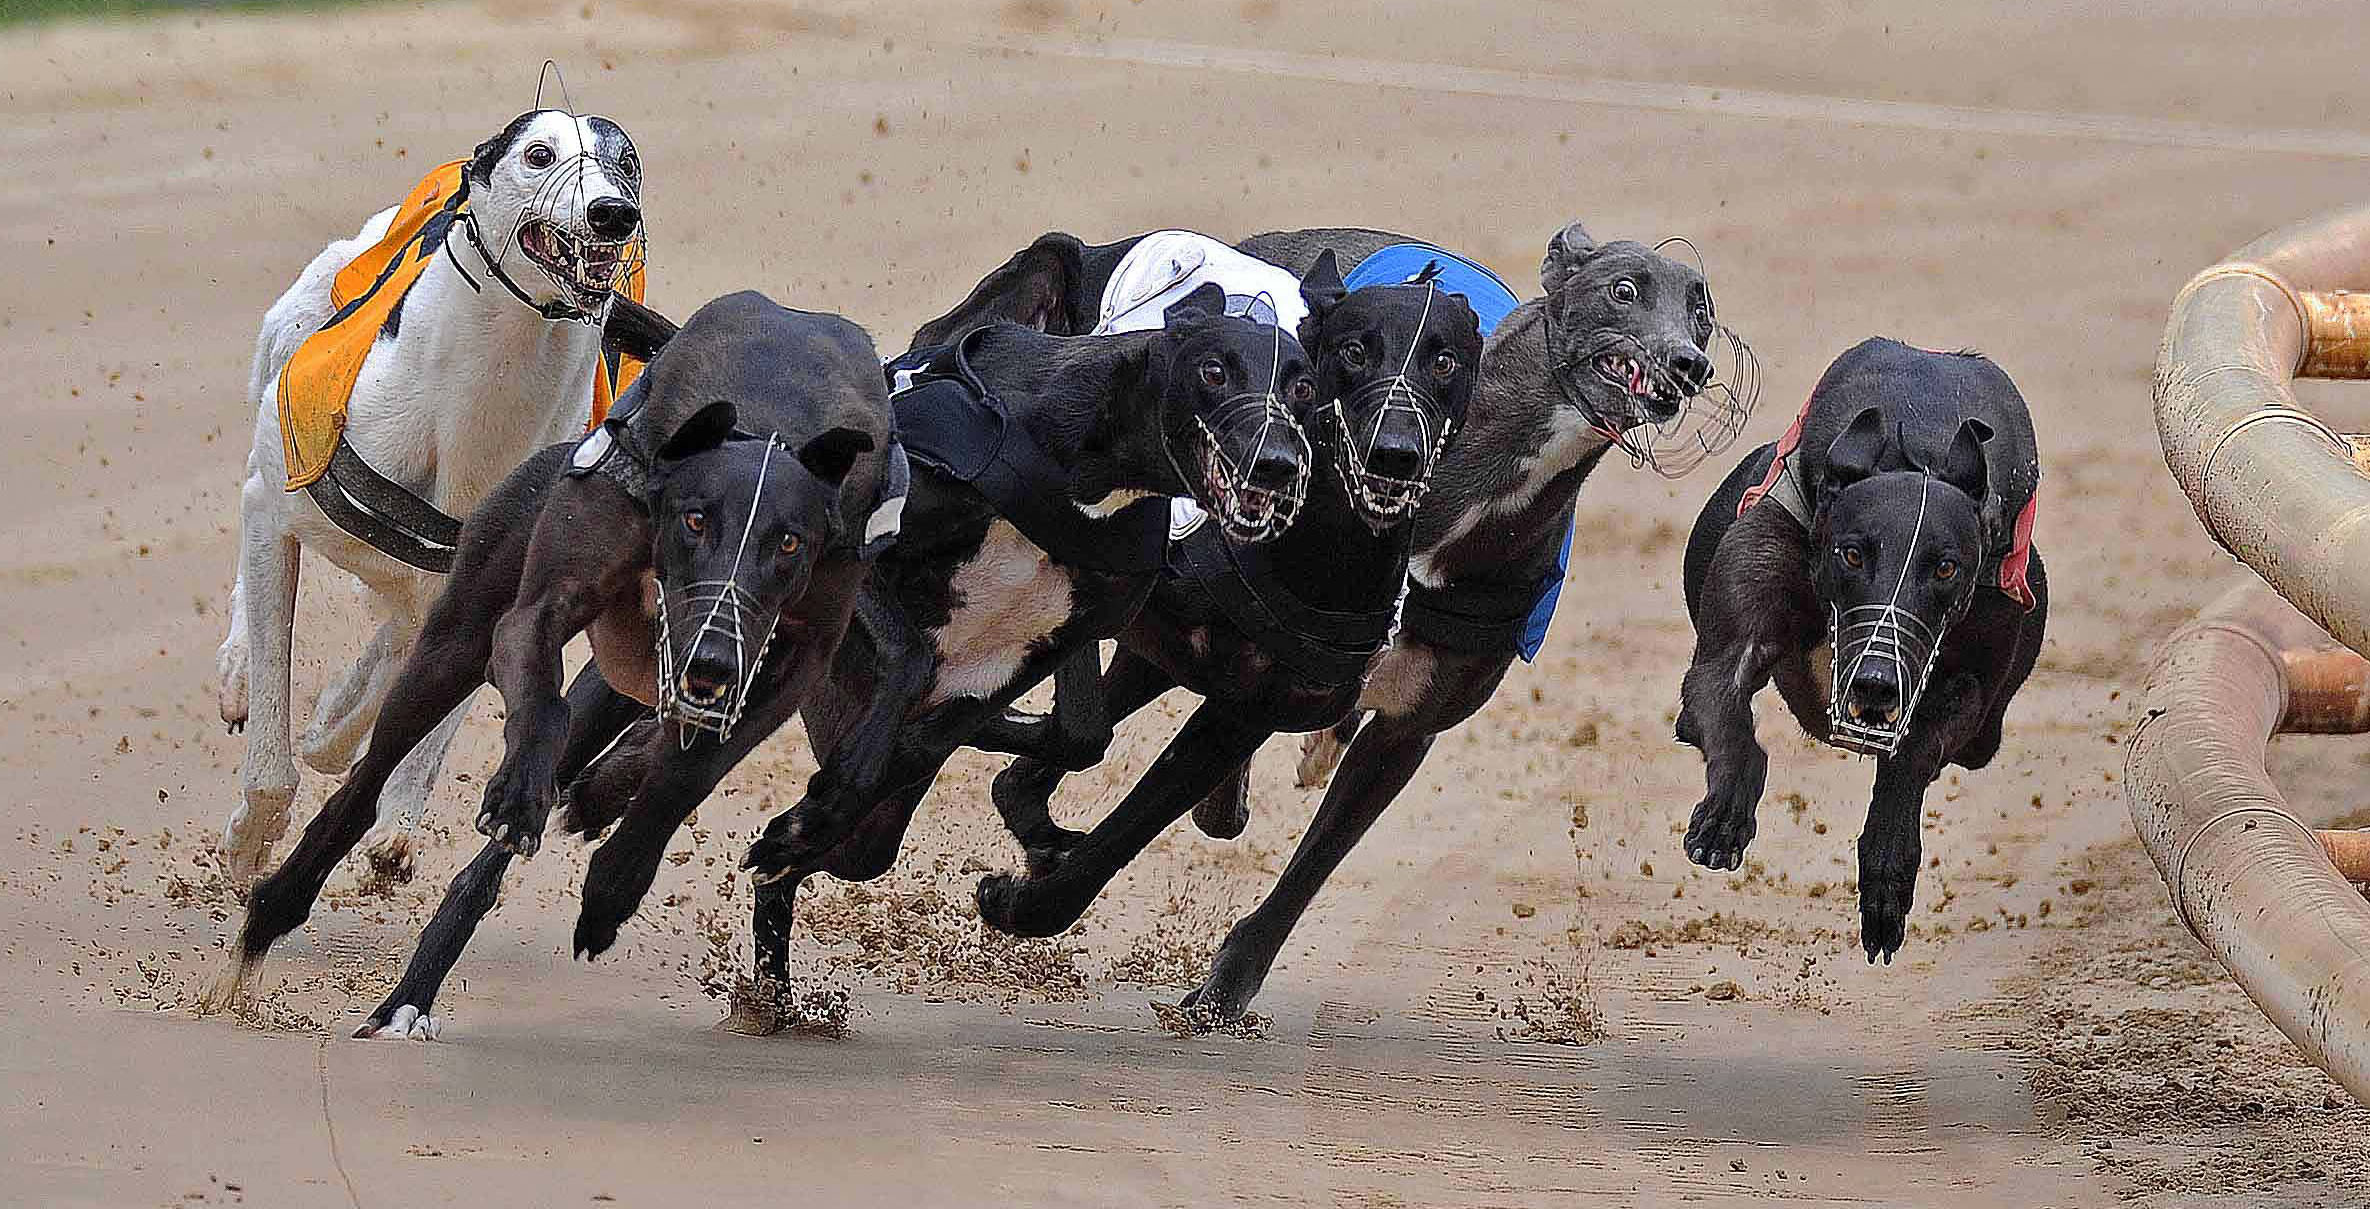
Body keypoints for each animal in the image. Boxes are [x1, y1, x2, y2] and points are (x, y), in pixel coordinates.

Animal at [200, 292, 898, 1034]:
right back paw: (272, 917)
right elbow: (544, 702)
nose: (712, 658)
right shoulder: (535, 611)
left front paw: (614, 880)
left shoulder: (788, 666)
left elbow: (687, 772)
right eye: (695, 519)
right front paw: (518, 792)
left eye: (790, 542)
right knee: (365, 782)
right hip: (455, 638)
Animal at [216, 108, 649, 886]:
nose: (613, 213)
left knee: (394, 636)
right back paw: (245, 674)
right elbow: (272, 735)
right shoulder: (275, 505)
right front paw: (252, 838)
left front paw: (395, 818)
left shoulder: (504, 580)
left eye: (624, 163)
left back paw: (339, 719)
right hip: (281, 360)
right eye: (540, 155)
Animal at [1675, 337, 2045, 963]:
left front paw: (1886, 879)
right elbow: (1727, 708)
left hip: (1987, 727)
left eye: (1946, 567)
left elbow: (1912, 755)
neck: (1918, 447)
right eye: (1852, 554)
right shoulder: (1733, 639)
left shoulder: (1967, 684)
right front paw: (1725, 816)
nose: (1875, 683)